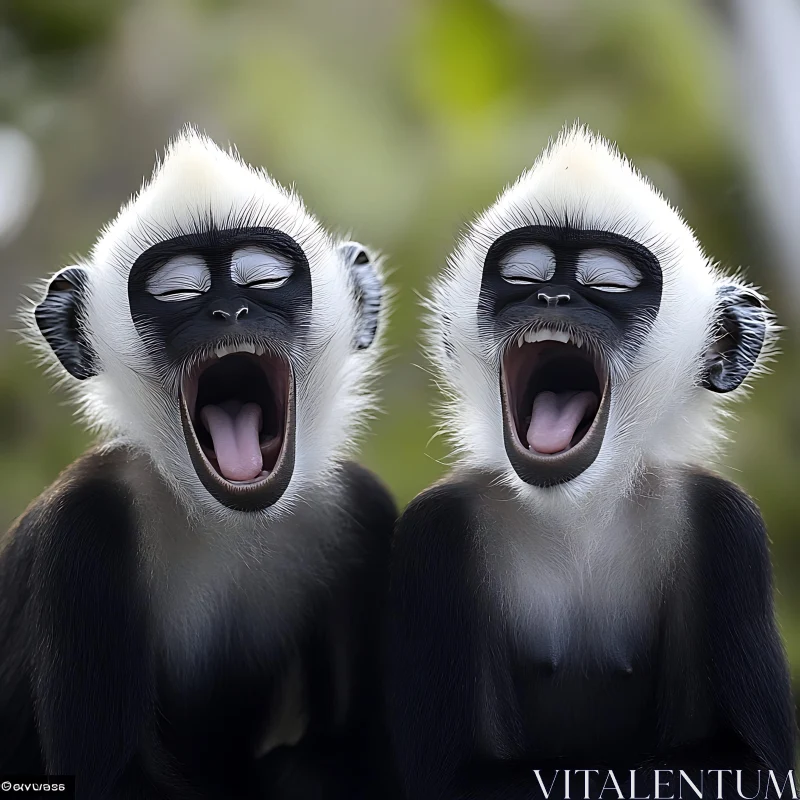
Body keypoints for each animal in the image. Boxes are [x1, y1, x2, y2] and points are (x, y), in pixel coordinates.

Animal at [0, 128, 398, 796]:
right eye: (179, 294)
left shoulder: (360, 511)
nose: (229, 313)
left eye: (263, 282)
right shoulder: (83, 526)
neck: (227, 519)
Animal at [386, 128, 792, 796]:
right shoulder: (433, 530)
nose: (551, 296)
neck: (575, 510)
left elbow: (755, 765)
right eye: (521, 277)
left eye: (608, 286)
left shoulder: (728, 522)